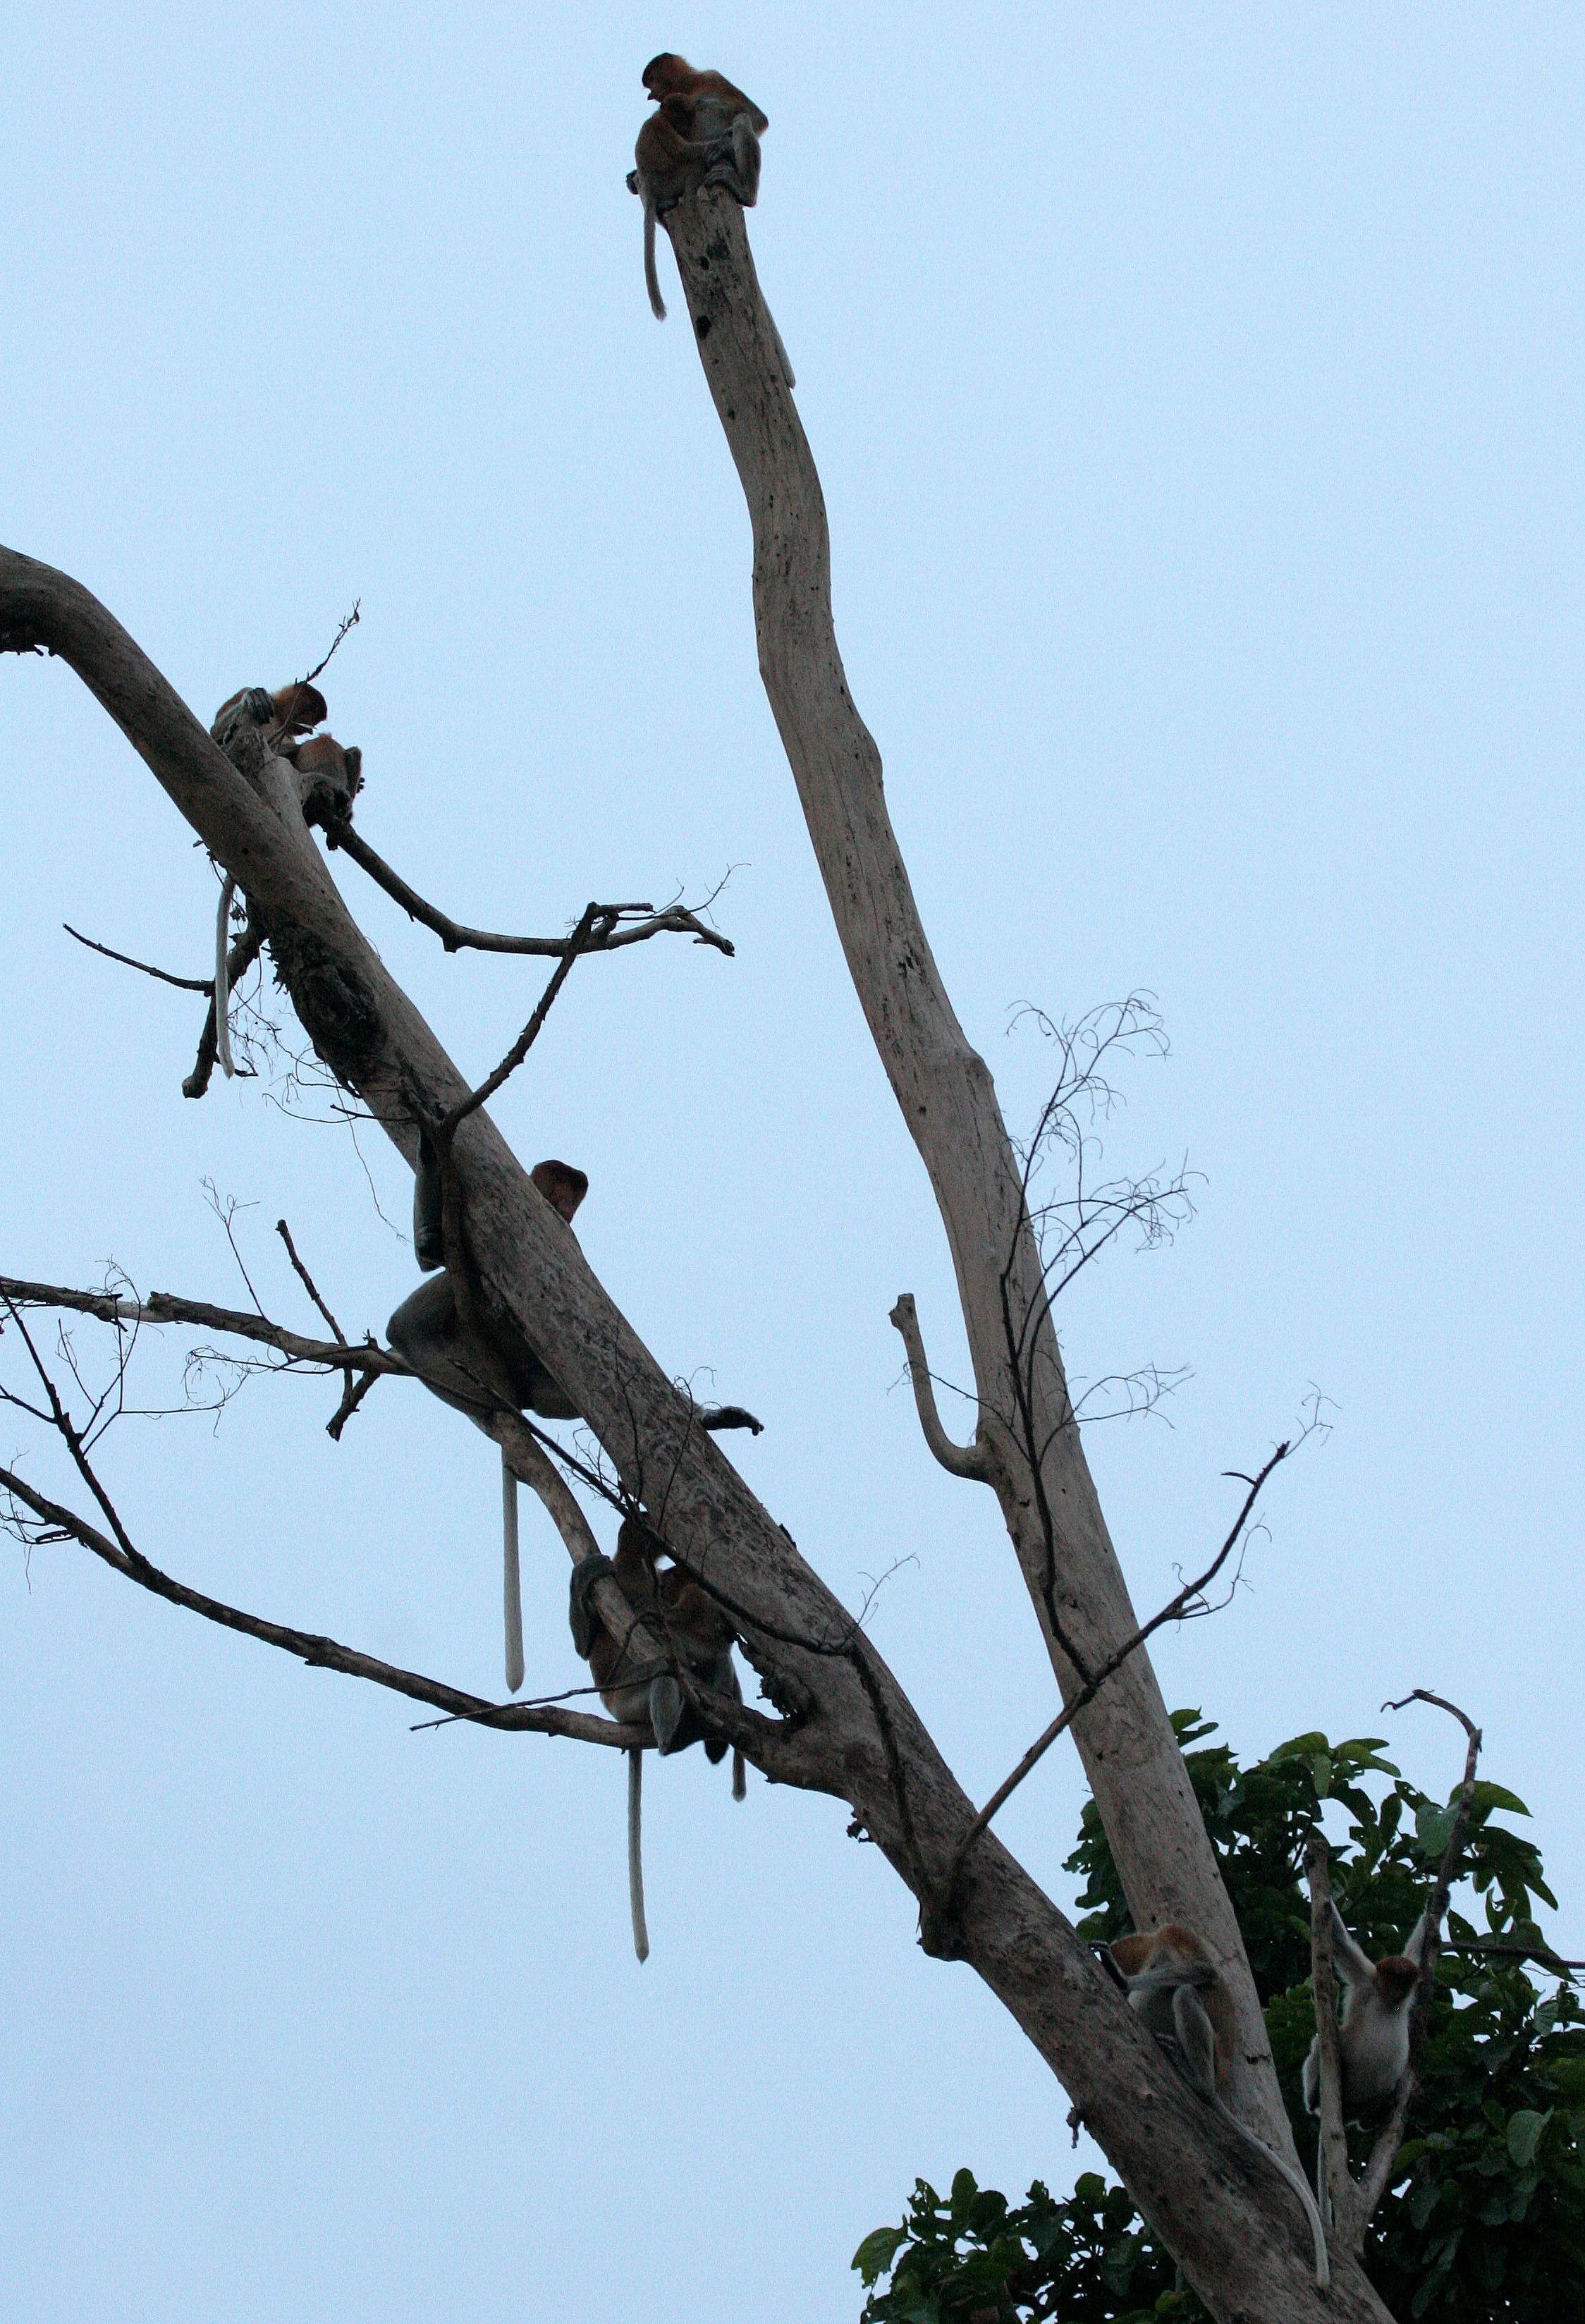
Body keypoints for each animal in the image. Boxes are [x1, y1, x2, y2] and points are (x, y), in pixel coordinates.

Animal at [569, 1514, 747, 1960]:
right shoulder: (630, 1583)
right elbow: (588, 1644)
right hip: (626, 1698)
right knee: (664, 1667)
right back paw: (677, 1735)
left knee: (705, 1662)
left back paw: (714, 1735)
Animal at [1110, 1924, 1330, 2289]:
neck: (1149, 1950)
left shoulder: (1174, 1935)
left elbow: (1204, 1971)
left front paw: (1120, 1978)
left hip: (1211, 2054)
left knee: (1185, 1993)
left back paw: (1198, 2082)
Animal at [1303, 1900, 1428, 2121]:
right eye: (1392, 1978)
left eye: (1403, 1981)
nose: (1397, 1990)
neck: (1387, 2000)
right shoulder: (1366, 1978)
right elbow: (1340, 1941)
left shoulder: (1407, 1995)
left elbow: (1414, 1950)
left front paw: (1435, 1909)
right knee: (1319, 2043)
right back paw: (1314, 2098)